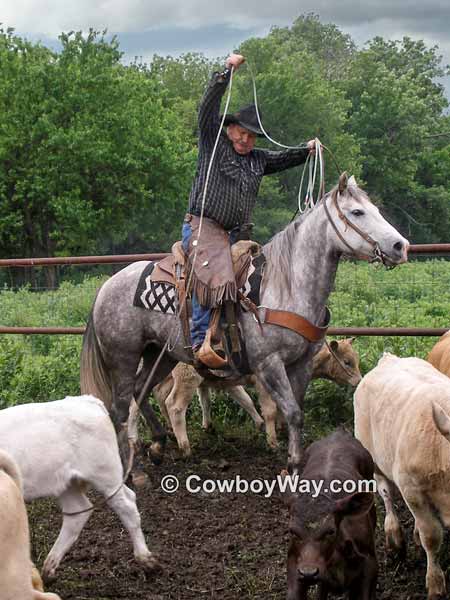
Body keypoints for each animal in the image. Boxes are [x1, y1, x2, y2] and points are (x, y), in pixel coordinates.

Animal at [0, 394, 160, 580]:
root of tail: (85, 400)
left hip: (105, 473)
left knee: (126, 506)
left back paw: (146, 560)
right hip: (66, 483)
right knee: (77, 511)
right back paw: (48, 569)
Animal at [80, 171, 408, 472]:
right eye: (357, 212)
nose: (400, 246)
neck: (286, 286)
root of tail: (106, 286)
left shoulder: (300, 363)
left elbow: (295, 411)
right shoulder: (268, 364)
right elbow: (288, 411)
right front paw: (291, 463)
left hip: (160, 354)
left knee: (141, 391)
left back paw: (159, 444)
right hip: (123, 357)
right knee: (121, 406)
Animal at [284, 432, 376, 600]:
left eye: (331, 531)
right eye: (292, 531)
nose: (308, 573)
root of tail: (338, 433)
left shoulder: (370, 563)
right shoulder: (294, 561)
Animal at [356, 354, 450, 596]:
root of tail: (389, 358)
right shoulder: (412, 489)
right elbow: (431, 536)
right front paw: (435, 583)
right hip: (374, 460)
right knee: (386, 494)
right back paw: (394, 536)